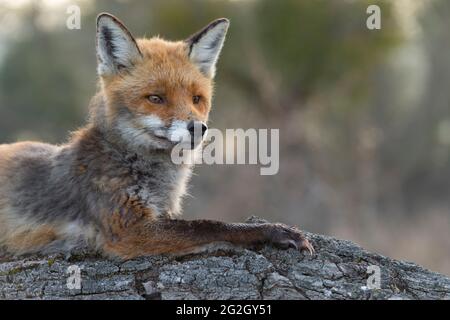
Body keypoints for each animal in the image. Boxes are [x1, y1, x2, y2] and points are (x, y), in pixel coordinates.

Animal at [0, 13, 312, 260]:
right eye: (156, 98)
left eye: (196, 99)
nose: (198, 128)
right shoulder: (127, 229)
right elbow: (207, 225)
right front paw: (272, 231)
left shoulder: (159, 215)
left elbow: (201, 223)